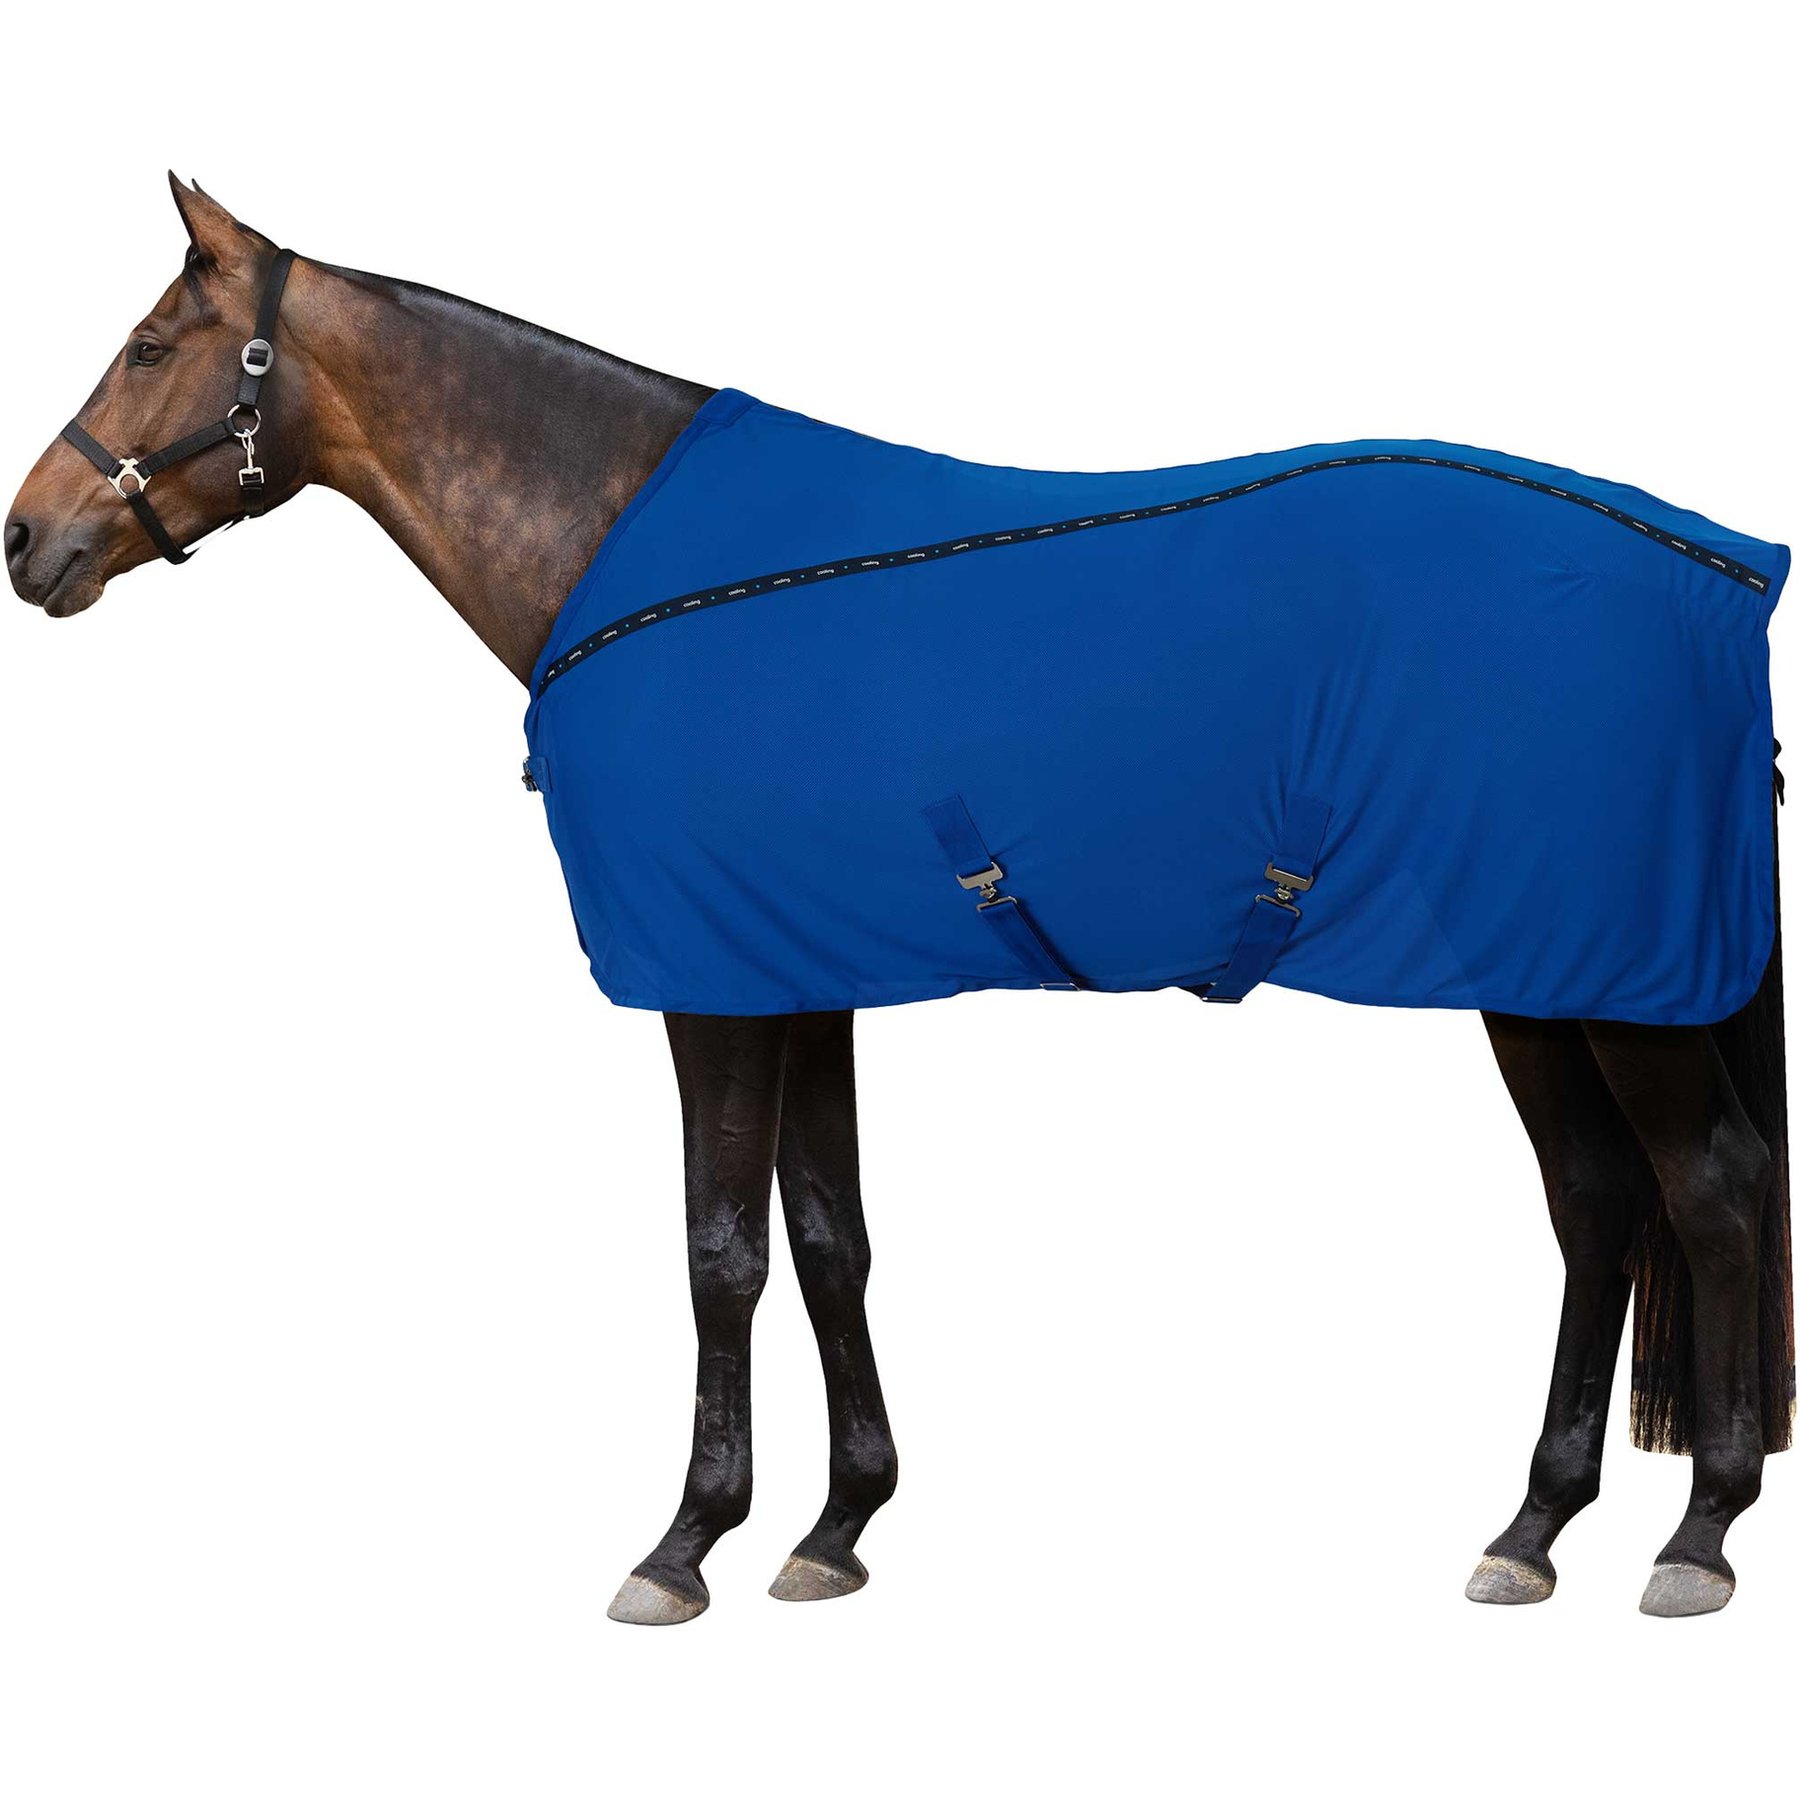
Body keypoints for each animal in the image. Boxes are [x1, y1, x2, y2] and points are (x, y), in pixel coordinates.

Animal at [7, 177, 1792, 1624]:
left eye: (154, 345)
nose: (29, 541)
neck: (622, 539)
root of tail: (1723, 566)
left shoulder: (712, 985)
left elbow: (720, 1251)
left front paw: (684, 1544)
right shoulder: (798, 969)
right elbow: (829, 1237)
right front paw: (835, 1527)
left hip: (1615, 981)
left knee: (1706, 1197)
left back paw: (1698, 1536)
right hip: (1542, 974)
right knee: (1599, 1209)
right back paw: (1534, 1528)